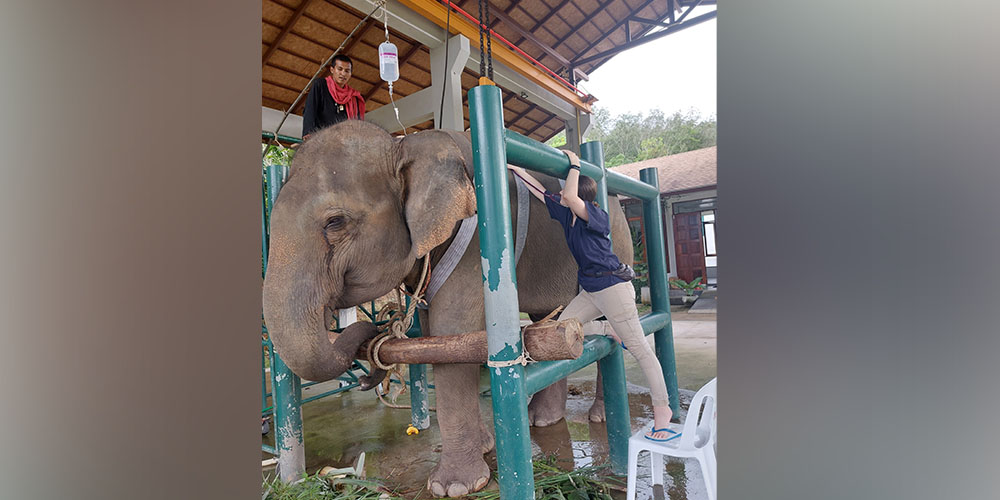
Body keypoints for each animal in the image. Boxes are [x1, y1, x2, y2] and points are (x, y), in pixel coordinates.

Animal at [262, 120, 633, 497]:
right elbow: (436, 335)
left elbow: (452, 331)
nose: (366, 378)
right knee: (549, 320)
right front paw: (483, 448)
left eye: (335, 222)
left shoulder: (474, 235)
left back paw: (598, 417)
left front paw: (454, 487)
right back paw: (540, 420)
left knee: (610, 328)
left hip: (618, 242)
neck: (404, 145)